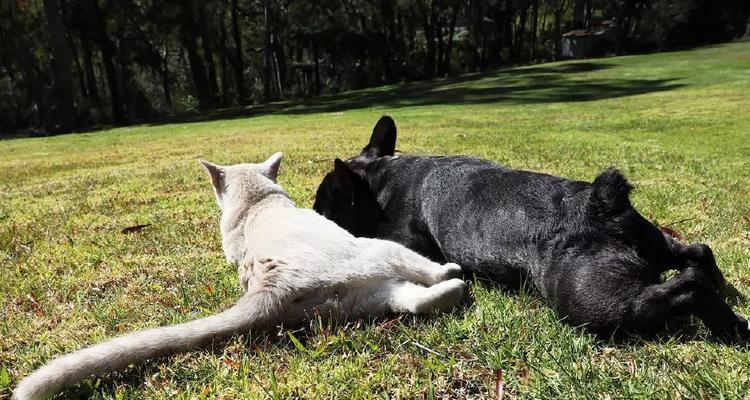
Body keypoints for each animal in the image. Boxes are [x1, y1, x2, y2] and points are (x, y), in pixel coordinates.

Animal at [11, 152, 468, 398]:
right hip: (380, 252)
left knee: (414, 301)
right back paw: (454, 273)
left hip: (362, 296)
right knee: (421, 277)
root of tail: (274, 286)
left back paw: (453, 288)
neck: (255, 204)